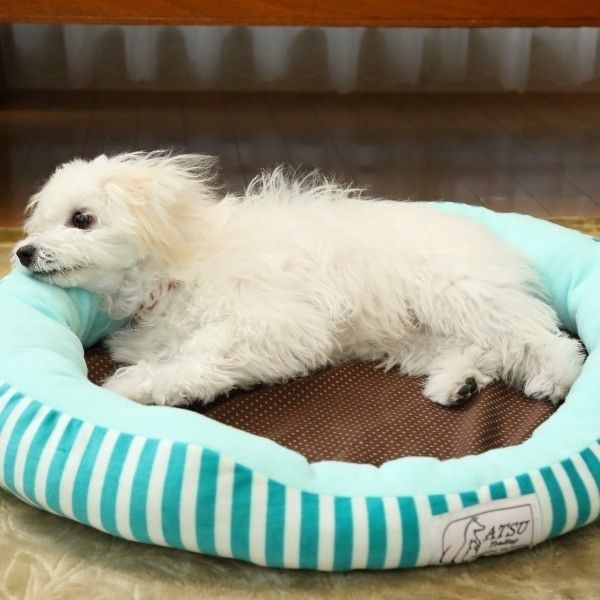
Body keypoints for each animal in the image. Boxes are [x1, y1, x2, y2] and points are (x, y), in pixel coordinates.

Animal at [14, 151, 585, 408]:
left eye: (82, 219)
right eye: (40, 224)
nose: (21, 252)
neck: (175, 269)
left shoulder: (274, 322)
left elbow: (202, 356)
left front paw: (138, 386)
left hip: (463, 296)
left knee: (543, 342)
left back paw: (556, 378)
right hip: (414, 337)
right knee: (480, 352)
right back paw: (457, 384)